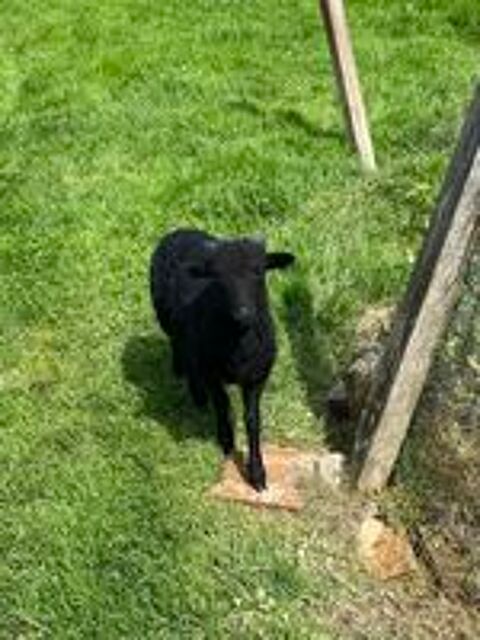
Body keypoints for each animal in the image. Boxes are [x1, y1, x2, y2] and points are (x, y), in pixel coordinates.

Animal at [149, 228, 295, 491]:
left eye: (258, 271)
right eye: (218, 277)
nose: (243, 313)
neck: (240, 343)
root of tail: (180, 230)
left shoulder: (257, 377)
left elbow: (253, 420)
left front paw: (257, 473)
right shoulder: (211, 372)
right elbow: (222, 404)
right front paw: (226, 441)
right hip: (168, 322)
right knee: (180, 347)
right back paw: (191, 386)